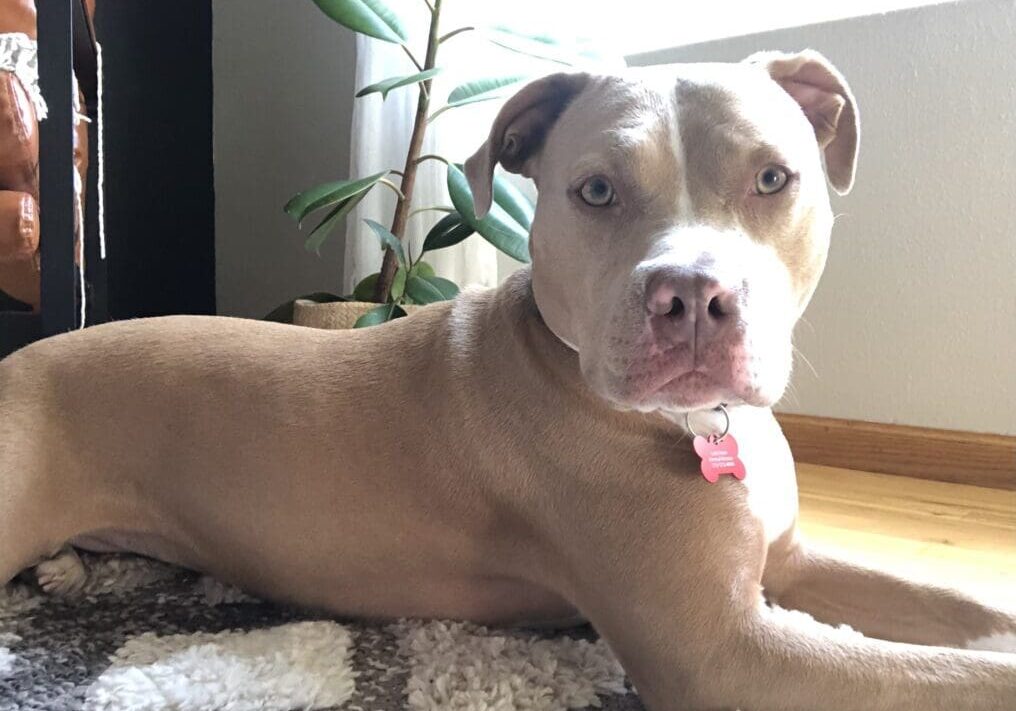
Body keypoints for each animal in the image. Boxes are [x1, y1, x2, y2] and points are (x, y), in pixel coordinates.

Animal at [1, 51, 1016, 711]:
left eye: (774, 177)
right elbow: (954, 675)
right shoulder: (722, 653)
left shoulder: (791, 562)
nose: (692, 296)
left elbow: (964, 610)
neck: (698, 422)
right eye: (596, 190)